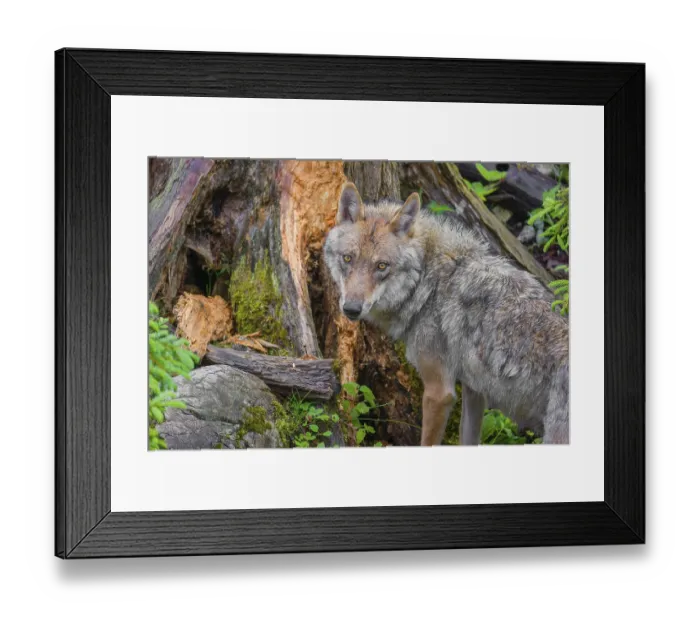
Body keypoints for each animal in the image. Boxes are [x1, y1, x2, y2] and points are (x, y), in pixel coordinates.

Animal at [323, 182, 569, 446]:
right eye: (347, 258)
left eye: (381, 266)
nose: (351, 308)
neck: (427, 284)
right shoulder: (474, 390)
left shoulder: (439, 393)